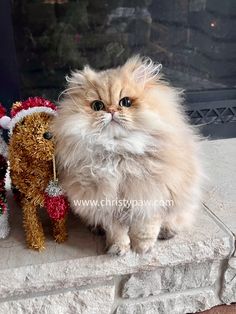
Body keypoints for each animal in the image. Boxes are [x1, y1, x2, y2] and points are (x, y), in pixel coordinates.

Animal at [52, 55, 202, 255]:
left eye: (125, 102)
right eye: (97, 106)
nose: (111, 111)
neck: (119, 154)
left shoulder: (152, 197)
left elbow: (145, 228)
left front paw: (142, 248)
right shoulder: (107, 204)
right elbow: (116, 231)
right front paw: (118, 249)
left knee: (179, 218)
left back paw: (167, 232)